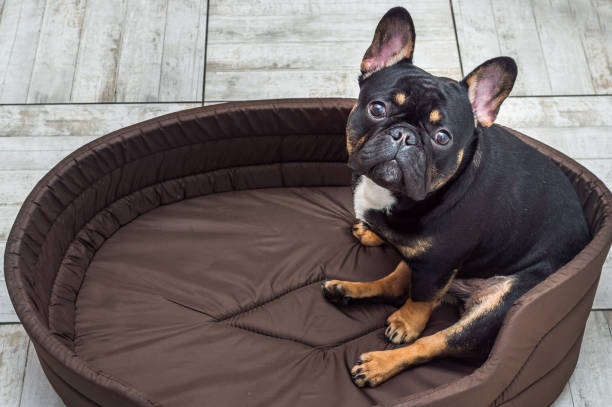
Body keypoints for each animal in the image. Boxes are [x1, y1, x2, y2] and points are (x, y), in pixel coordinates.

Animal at [322, 6, 592, 388]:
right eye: (377, 109)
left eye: (442, 137)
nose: (405, 136)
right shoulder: (426, 260)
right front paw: (372, 231)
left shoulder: (438, 264)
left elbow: (421, 303)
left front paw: (405, 324)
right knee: (396, 281)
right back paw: (348, 289)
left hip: (495, 308)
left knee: (434, 339)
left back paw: (379, 363)